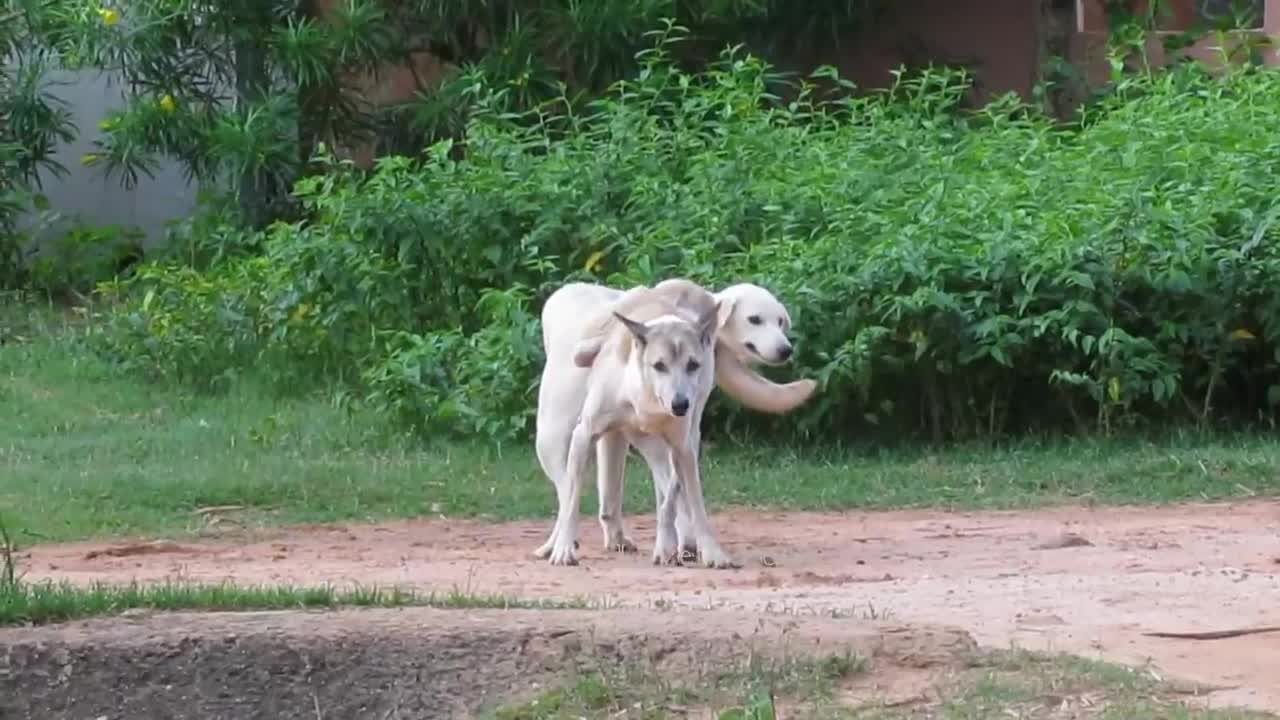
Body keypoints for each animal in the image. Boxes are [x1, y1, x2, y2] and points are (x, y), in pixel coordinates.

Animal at [532, 278, 814, 563]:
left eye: (780, 321)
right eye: (754, 319)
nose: (785, 350)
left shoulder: (684, 444)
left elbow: (679, 498)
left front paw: (694, 547)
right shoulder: (586, 434)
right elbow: (573, 502)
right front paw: (564, 549)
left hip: (633, 443)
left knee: (623, 497)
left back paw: (629, 539)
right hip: (552, 440)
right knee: (566, 491)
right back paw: (555, 544)